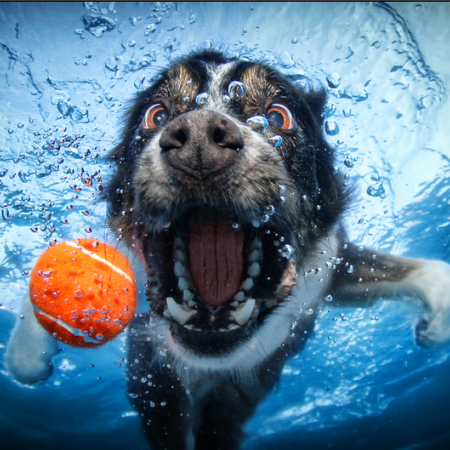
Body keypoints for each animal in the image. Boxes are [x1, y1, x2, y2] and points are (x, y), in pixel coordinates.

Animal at [5, 49, 450, 450]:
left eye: (277, 116)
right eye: (157, 115)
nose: (200, 139)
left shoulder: (328, 270)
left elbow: (413, 270)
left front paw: (436, 322)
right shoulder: (152, 365)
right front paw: (28, 351)